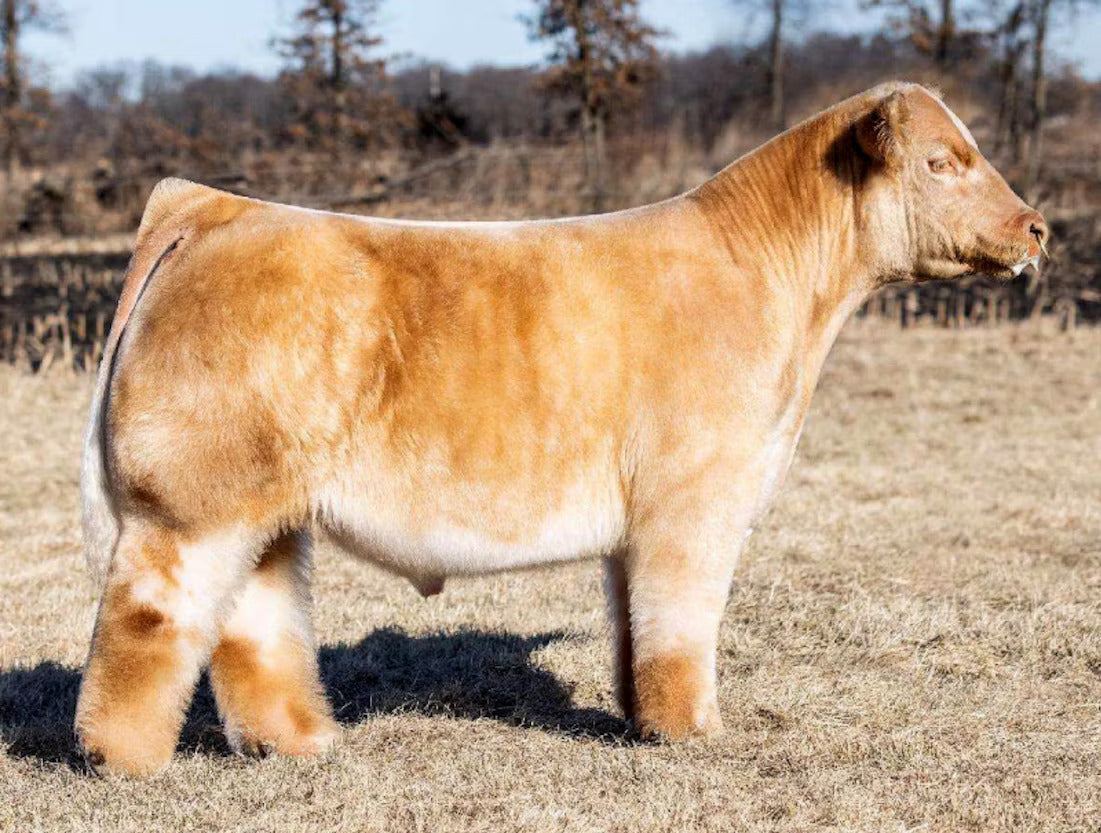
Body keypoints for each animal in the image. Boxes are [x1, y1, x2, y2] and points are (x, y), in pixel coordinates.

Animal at [75, 82, 1047, 775]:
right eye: (940, 161)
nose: (1034, 227)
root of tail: (213, 207)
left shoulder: (641, 523)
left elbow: (632, 624)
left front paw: (641, 720)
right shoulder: (693, 504)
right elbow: (680, 623)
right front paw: (694, 731)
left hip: (259, 510)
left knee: (252, 621)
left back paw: (298, 744)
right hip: (188, 508)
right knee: (147, 619)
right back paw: (125, 761)